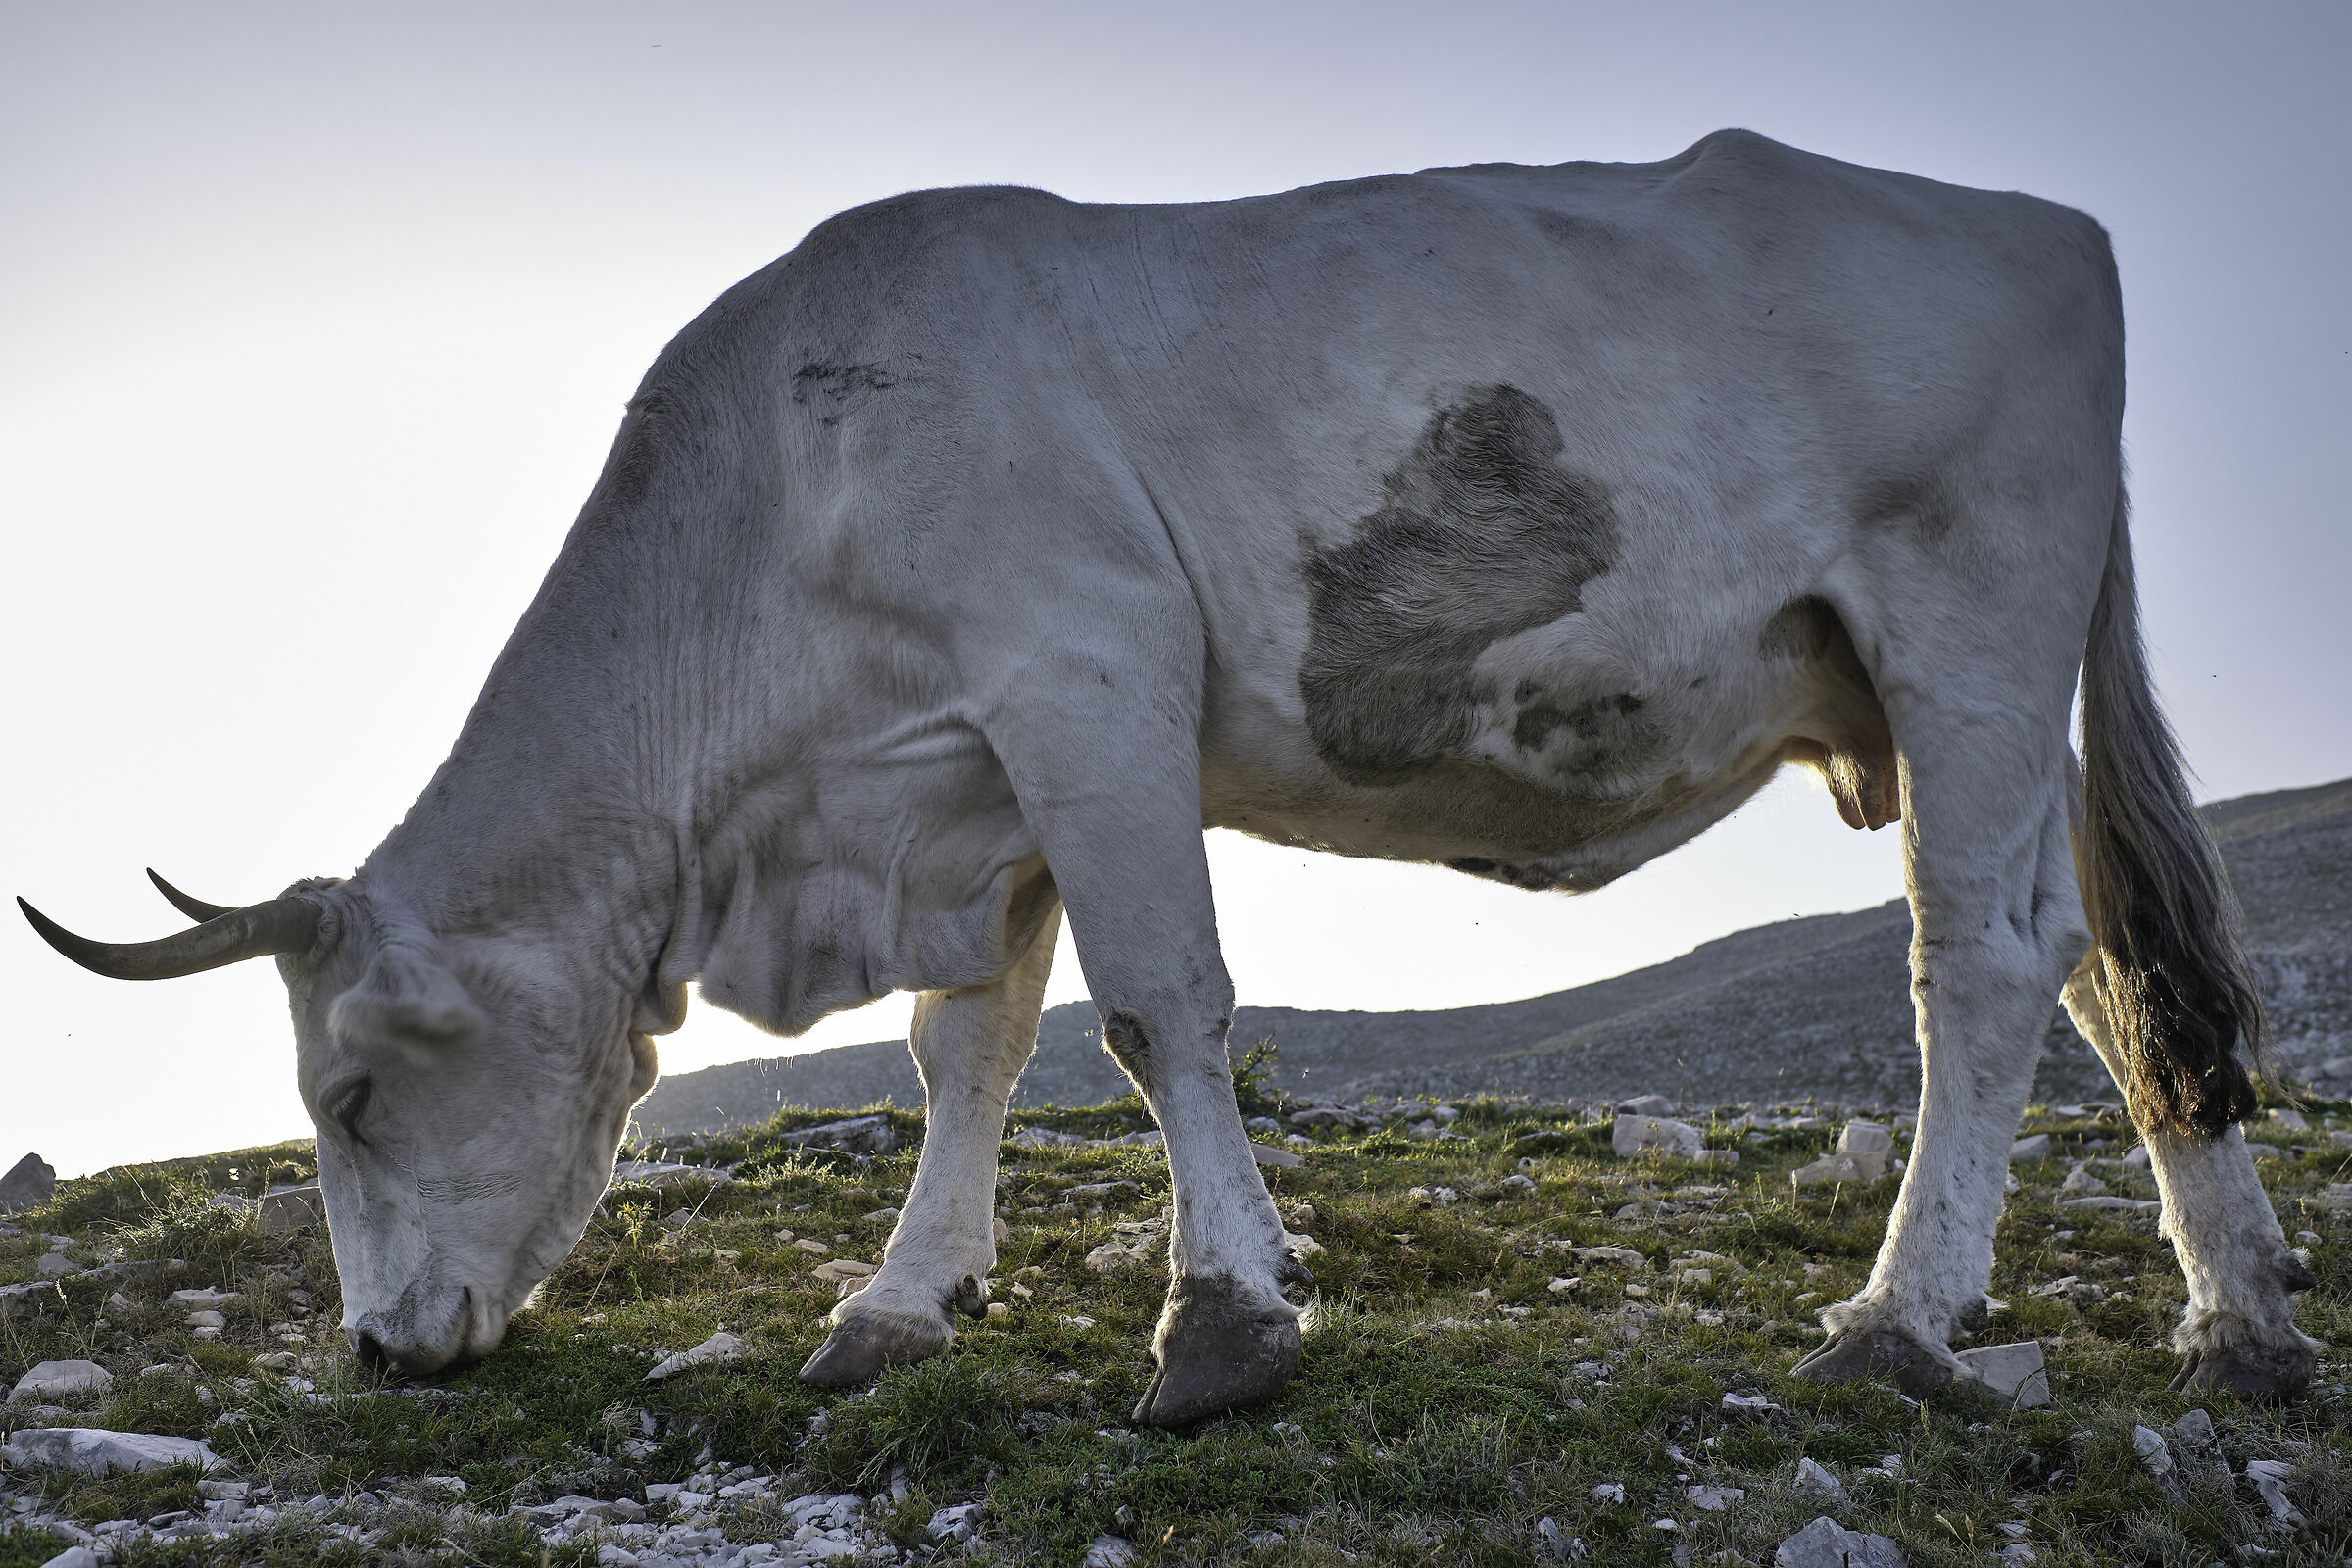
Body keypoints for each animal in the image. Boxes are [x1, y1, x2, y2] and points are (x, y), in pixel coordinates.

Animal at [21, 129, 2317, 1426]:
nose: (369, 1352)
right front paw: (901, 1301)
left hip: (1970, 622)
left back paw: (1904, 1324)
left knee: (1984, 963)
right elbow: (966, 1047)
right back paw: (2239, 1323)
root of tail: (2038, 220)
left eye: (346, 1092)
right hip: (1964, 682)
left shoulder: (1089, 678)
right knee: (2116, 973)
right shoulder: (972, 768)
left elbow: (1154, 1010)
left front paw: (1218, 1325)